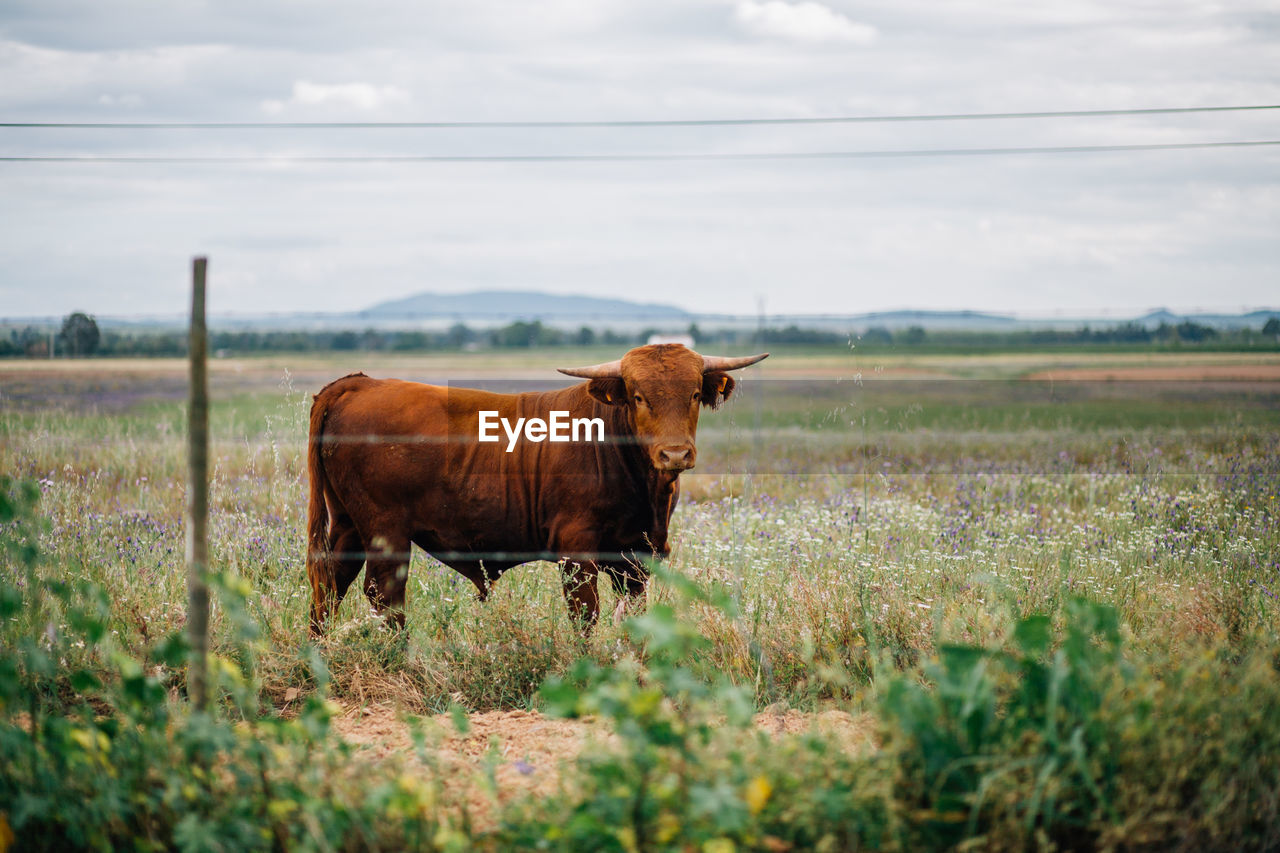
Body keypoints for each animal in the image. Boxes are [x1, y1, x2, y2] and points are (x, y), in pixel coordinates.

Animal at [304, 343, 762, 630]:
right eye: (637, 396)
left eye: (693, 394)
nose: (675, 454)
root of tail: (361, 383)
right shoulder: (577, 552)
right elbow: (586, 616)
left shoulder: (637, 557)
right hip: (386, 531)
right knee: (383, 596)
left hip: (347, 524)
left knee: (329, 585)